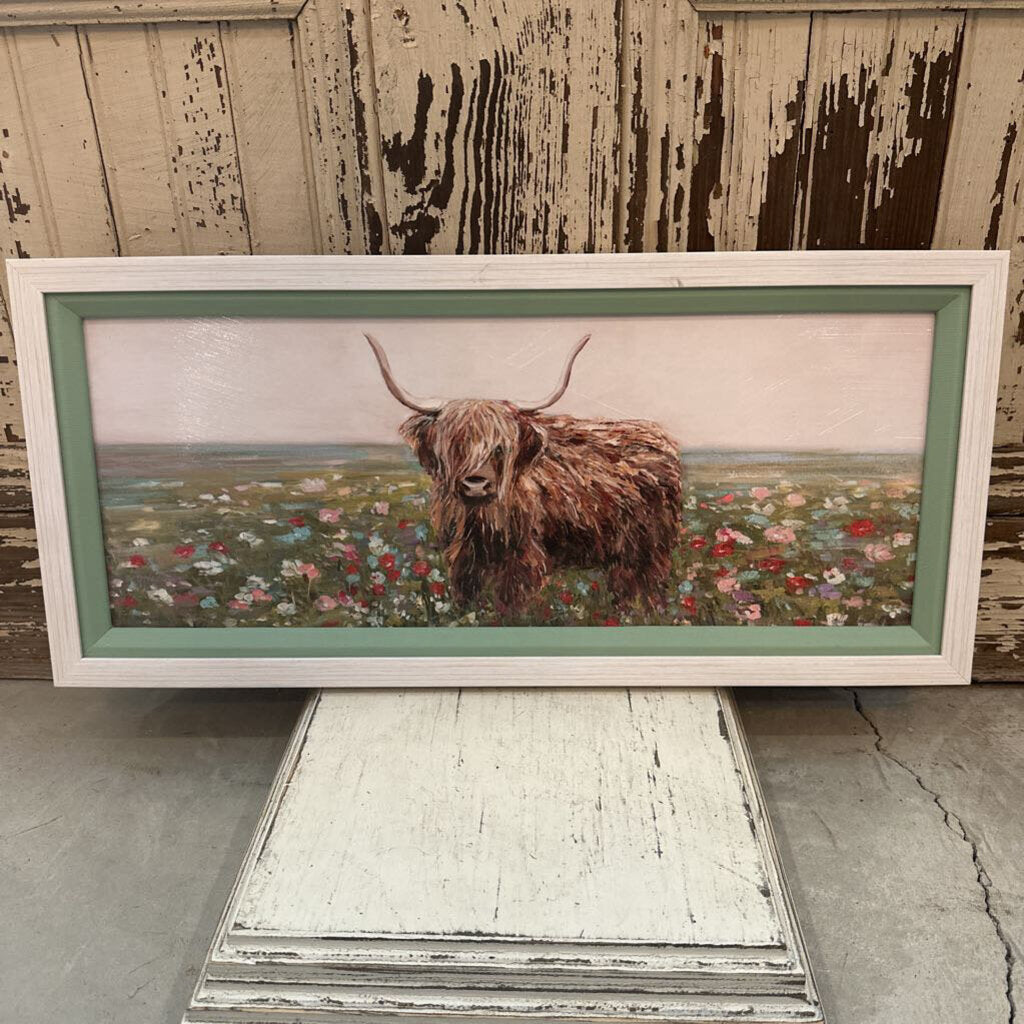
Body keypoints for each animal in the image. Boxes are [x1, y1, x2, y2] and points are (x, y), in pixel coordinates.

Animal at [364, 331, 684, 610]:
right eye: (456, 445)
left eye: (500, 447)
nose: (476, 484)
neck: (480, 518)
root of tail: (660, 438)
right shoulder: (464, 555)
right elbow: (467, 598)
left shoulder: (523, 556)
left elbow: (511, 604)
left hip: (648, 550)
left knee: (645, 589)